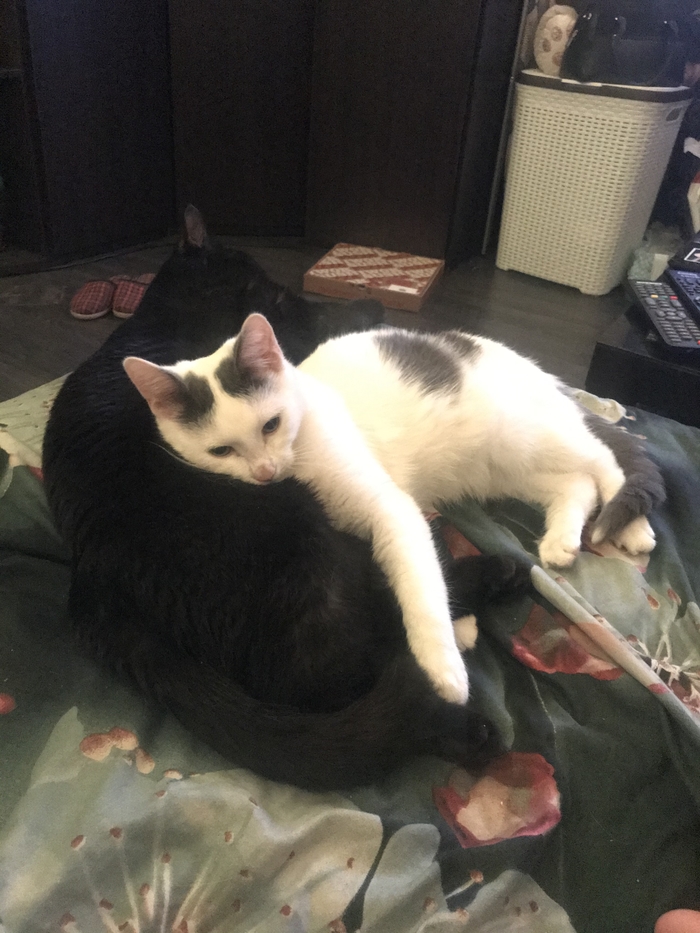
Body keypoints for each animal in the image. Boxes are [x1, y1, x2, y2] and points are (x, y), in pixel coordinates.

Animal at [43, 206, 528, 792]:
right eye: (261, 283)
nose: (272, 290)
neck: (165, 308)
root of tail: (95, 589)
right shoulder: (292, 333)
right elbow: (324, 315)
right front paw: (367, 304)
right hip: (302, 537)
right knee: (357, 648)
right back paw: (479, 645)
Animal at [123, 311, 665, 591]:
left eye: (271, 425)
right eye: (221, 451)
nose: (264, 471)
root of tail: (541, 374)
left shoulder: (385, 502)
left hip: (530, 432)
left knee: (604, 462)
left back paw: (633, 529)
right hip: (503, 469)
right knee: (574, 483)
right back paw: (561, 541)